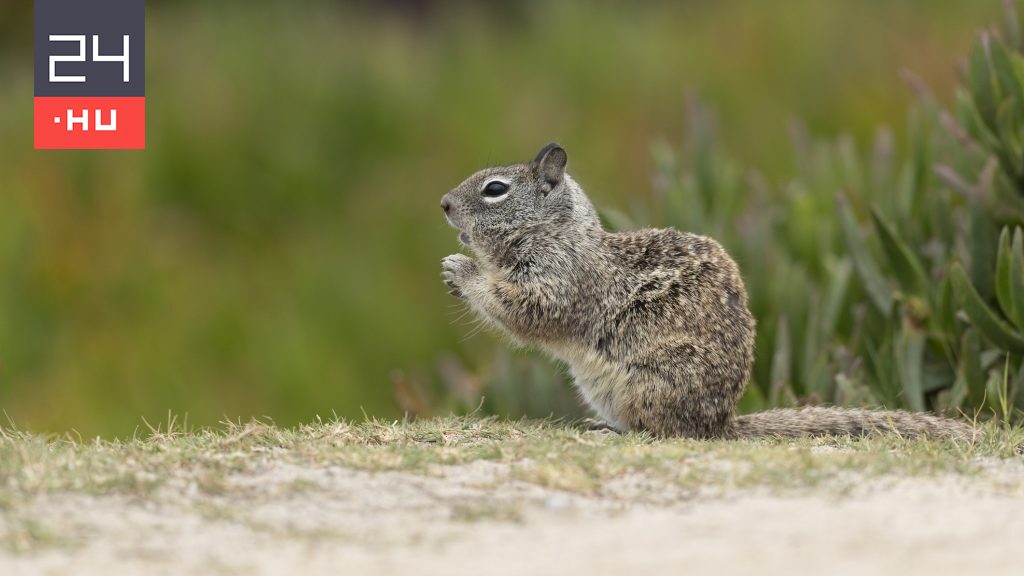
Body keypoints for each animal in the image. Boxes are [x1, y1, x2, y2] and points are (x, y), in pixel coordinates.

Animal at [436, 143, 970, 438]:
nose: (442, 203)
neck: (556, 231)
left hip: (650, 384)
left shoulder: (555, 279)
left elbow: (521, 309)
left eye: (495, 189)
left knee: (664, 432)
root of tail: (720, 422)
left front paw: (460, 270)